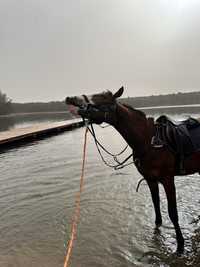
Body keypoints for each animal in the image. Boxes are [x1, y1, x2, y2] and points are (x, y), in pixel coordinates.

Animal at [65, 87, 200, 255]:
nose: (70, 99)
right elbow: (156, 204)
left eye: (101, 99)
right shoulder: (150, 180)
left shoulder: (168, 179)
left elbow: (173, 213)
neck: (148, 141)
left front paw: (180, 244)